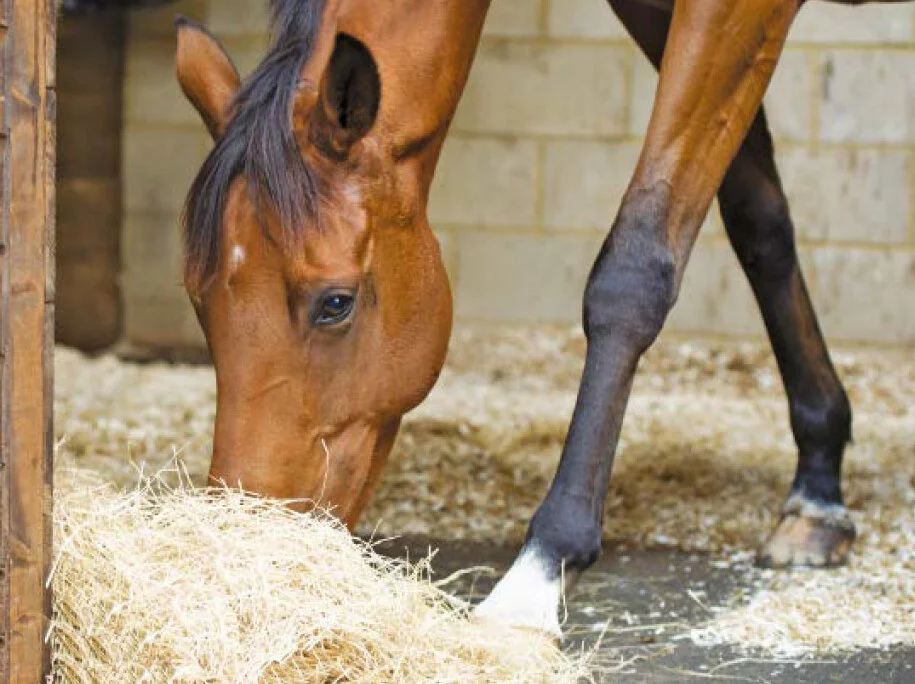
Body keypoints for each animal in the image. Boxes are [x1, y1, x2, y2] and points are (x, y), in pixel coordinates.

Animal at [175, 0, 905, 639]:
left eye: (335, 303)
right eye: (198, 301)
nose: (248, 552)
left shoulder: (732, 10)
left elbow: (634, 268)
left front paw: (540, 571)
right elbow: (757, 218)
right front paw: (818, 484)